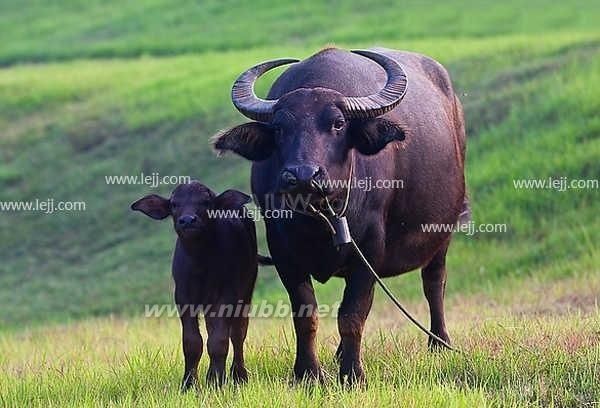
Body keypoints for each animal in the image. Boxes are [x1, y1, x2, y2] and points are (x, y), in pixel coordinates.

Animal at [132, 181, 266, 388]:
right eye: (174, 204)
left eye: (206, 202)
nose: (188, 221)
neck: (201, 262)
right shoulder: (183, 298)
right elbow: (192, 342)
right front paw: (189, 383)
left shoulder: (226, 296)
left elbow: (219, 340)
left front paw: (216, 381)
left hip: (246, 290)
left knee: (238, 332)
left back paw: (239, 375)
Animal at [213, 47, 466, 386]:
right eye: (279, 128)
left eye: (338, 124)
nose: (302, 175)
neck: (318, 220)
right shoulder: (282, 251)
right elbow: (305, 314)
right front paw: (307, 373)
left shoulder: (369, 250)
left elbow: (352, 314)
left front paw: (353, 374)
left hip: (443, 233)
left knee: (434, 283)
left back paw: (439, 342)